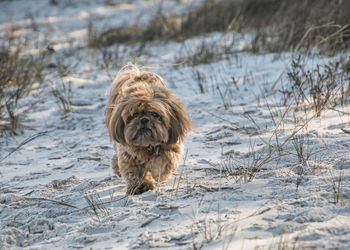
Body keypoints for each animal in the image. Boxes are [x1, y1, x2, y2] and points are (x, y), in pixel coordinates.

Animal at [105, 63, 191, 195]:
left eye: (155, 114)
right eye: (134, 114)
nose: (144, 119)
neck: (148, 145)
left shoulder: (173, 147)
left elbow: (165, 161)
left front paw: (157, 171)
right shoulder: (128, 156)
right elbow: (134, 173)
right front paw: (141, 186)